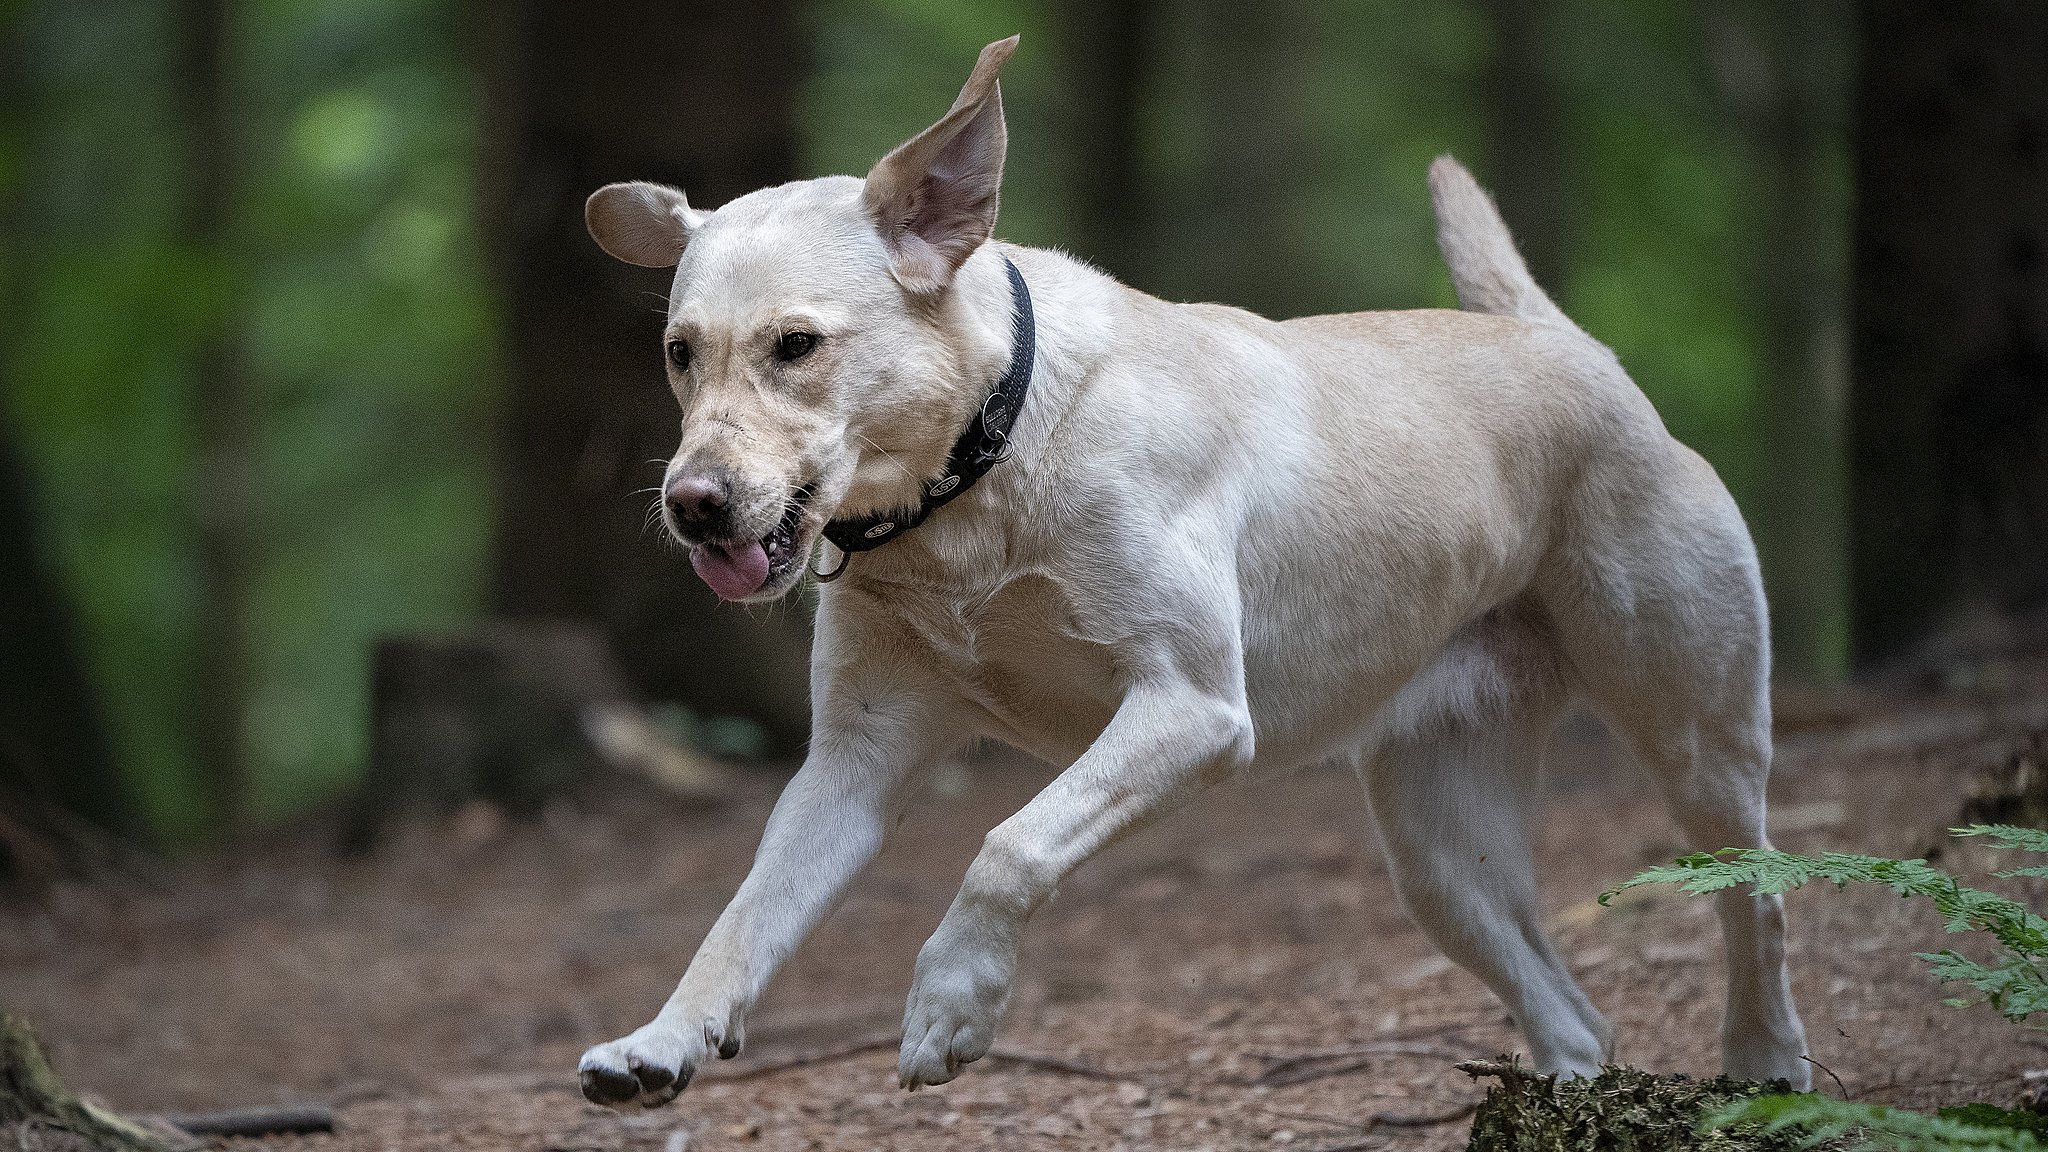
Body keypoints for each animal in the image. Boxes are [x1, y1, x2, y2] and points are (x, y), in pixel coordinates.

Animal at [577, 35, 1810, 1106]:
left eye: (797, 345)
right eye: (679, 353)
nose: (691, 505)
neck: (978, 478)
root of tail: (1573, 345)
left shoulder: (1193, 709)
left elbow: (1008, 845)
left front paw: (947, 1008)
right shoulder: (853, 763)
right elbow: (741, 915)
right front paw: (661, 1041)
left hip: (1697, 736)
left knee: (1756, 900)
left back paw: (1765, 1064)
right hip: (1439, 856)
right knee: (1573, 1016)